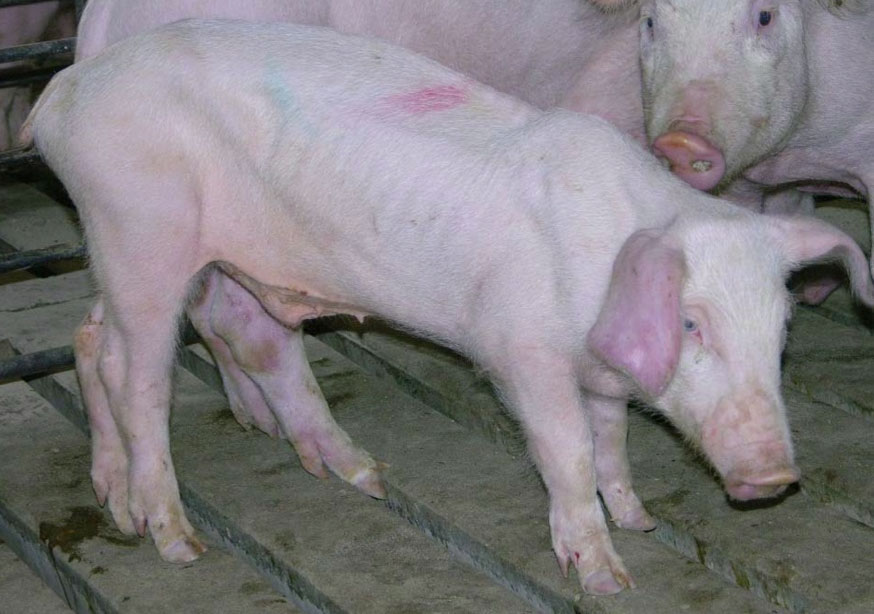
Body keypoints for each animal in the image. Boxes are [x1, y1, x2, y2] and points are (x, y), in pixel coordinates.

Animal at [23, 19, 874, 594]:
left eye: (781, 329)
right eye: (692, 323)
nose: (773, 475)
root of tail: (61, 95)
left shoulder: (598, 374)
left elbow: (611, 441)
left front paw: (640, 520)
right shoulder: (520, 351)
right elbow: (566, 452)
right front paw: (607, 577)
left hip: (129, 247)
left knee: (96, 338)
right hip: (141, 230)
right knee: (140, 377)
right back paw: (176, 541)